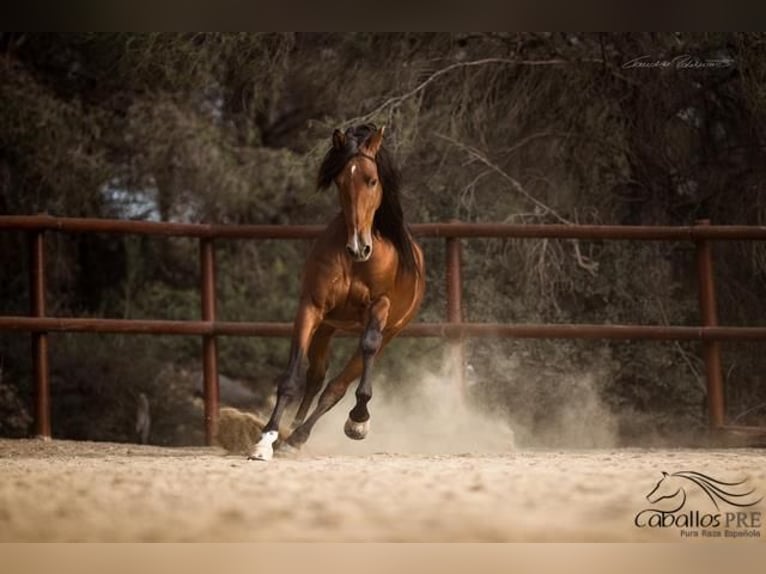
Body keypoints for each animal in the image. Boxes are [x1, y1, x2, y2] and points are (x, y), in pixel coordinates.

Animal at [249, 124, 426, 462]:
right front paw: (265, 439)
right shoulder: (311, 307)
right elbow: (292, 377)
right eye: (341, 180)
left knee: (336, 386)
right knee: (316, 377)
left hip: (391, 331)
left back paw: (307, 434)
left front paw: (359, 419)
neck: (356, 262)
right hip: (327, 327)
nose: (359, 247)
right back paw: (291, 433)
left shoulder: (379, 307)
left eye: (372, 180)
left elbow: (365, 351)